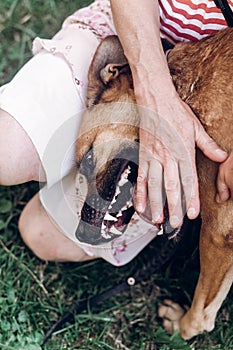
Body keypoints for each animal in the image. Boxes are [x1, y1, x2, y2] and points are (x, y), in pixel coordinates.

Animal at [74, 28, 233, 340]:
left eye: (87, 160)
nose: (80, 234)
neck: (185, 96)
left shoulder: (218, 233)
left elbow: (202, 309)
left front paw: (182, 327)